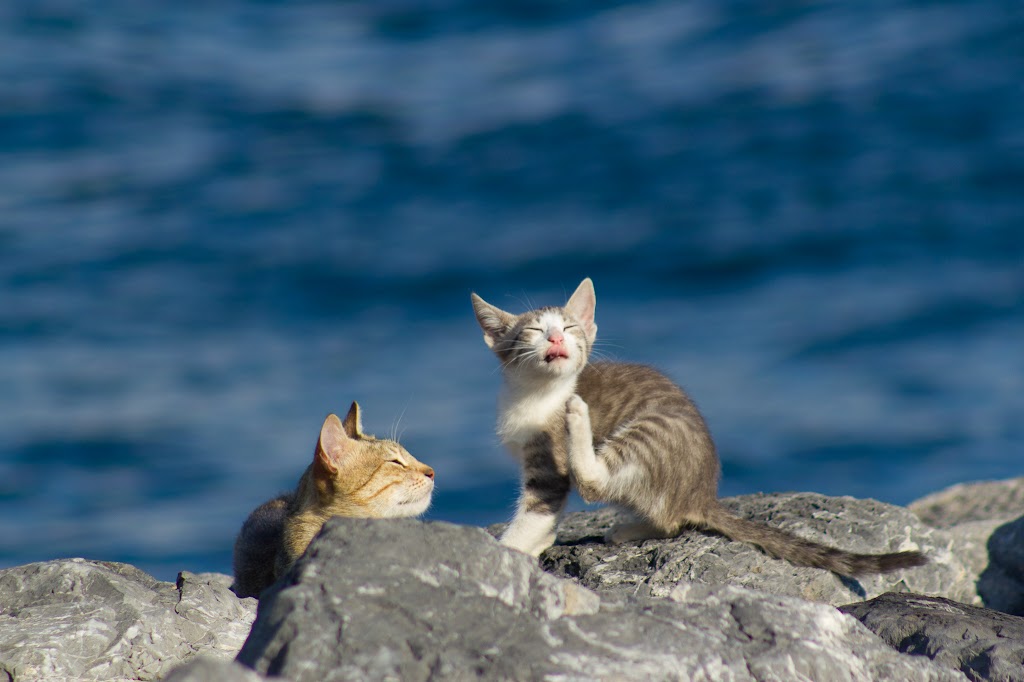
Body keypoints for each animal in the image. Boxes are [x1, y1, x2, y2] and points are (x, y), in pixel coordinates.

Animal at [471, 276, 929, 573]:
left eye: (568, 326)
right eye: (533, 330)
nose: (555, 339)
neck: (535, 395)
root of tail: (702, 492)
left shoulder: (550, 463)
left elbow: (537, 510)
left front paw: (507, 548)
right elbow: (541, 521)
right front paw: (532, 545)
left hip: (653, 430)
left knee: (601, 482)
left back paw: (579, 420)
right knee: (668, 518)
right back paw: (631, 527)